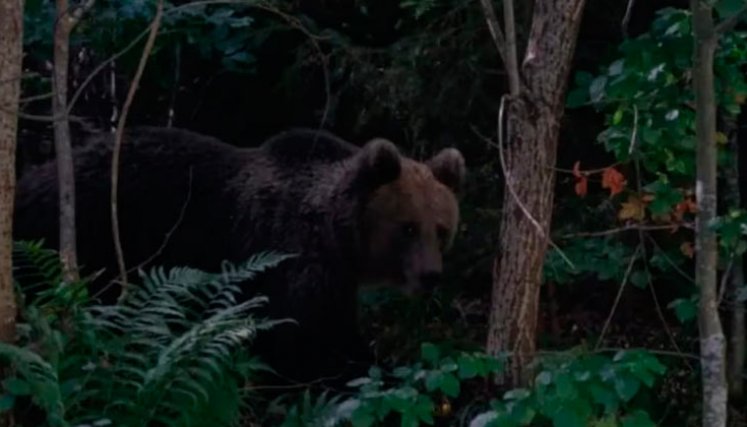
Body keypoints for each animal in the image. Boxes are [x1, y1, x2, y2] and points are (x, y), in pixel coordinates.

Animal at [13, 126, 466, 383]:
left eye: (442, 229)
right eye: (408, 228)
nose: (431, 276)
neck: (336, 237)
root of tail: (32, 178)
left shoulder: (335, 280)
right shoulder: (291, 262)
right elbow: (303, 342)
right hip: (88, 234)